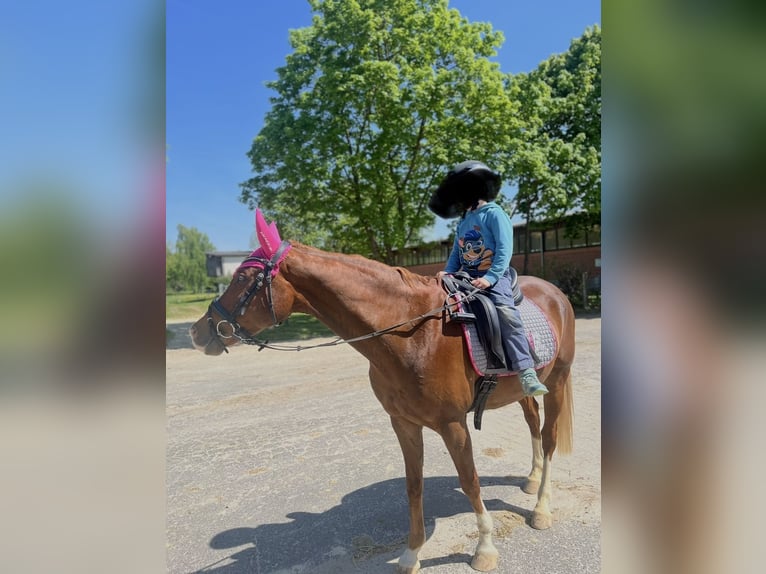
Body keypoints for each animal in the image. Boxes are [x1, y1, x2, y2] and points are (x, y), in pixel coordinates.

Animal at [190, 211, 575, 574]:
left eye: (242, 278)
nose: (197, 331)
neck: (412, 332)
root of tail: (555, 292)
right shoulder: (403, 423)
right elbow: (413, 486)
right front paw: (412, 554)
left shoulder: (453, 424)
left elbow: (470, 482)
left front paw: (484, 549)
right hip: (521, 391)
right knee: (532, 422)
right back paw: (532, 479)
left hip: (556, 382)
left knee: (549, 437)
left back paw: (541, 508)